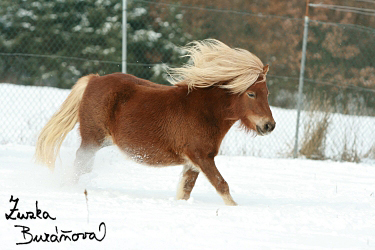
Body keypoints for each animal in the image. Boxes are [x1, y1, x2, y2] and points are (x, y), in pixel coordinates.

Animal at [35, 39, 276, 205]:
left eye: (267, 93)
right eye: (251, 94)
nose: (269, 126)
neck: (205, 110)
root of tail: (94, 79)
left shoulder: (194, 161)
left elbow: (185, 191)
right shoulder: (201, 156)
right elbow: (221, 185)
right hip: (92, 140)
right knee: (80, 165)